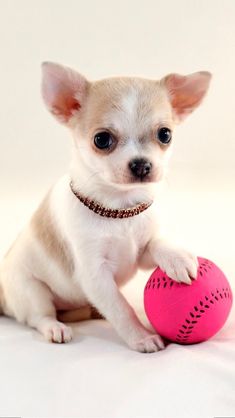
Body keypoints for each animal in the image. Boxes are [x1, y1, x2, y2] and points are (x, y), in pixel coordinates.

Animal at [0, 62, 211, 352]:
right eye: (101, 140)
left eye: (165, 135)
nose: (141, 164)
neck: (119, 211)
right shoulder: (95, 275)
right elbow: (121, 309)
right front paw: (142, 336)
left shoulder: (140, 254)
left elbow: (158, 242)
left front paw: (178, 257)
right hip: (32, 291)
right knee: (39, 317)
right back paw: (55, 328)